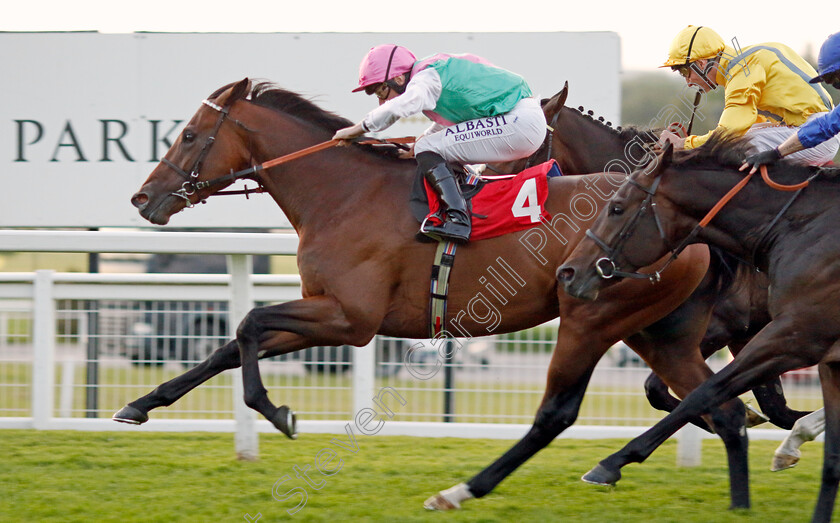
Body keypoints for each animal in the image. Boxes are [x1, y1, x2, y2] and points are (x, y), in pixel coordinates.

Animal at [118, 79, 748, 512]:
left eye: (189, 135)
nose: (143, 198)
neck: (344, 193)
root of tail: (692, 230)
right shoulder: (327, 312)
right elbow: (233, 343)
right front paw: (141, 405)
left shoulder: (350, 319)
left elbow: (248, 323)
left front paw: (278, 412)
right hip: (657, 333)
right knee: (722, 407)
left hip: (593, 318)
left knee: (563, 412)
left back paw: (468, 489)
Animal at [556, 137, 840, 520]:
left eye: (616, 207)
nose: (568, 272)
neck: (799, 227)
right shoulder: (753, 335)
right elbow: (764, 405)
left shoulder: (790, 336)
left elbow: (705, 392)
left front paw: (611, 464)